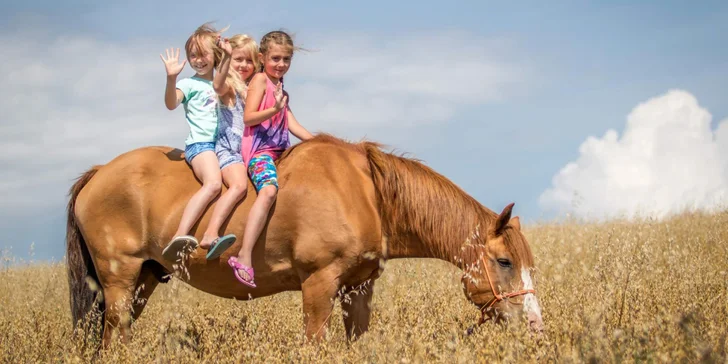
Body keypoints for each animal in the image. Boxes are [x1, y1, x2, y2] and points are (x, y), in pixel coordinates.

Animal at [65, 134, 544, 350]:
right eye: (504, 261)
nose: (535, 325)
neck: (365, 191)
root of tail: (99, 173)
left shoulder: (358, 290)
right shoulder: (318, 285)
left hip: (143, 281)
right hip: (120, 280)